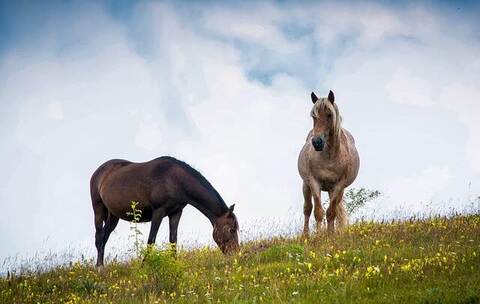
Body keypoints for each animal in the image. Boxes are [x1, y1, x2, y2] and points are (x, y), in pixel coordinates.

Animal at [89, 157, 238, 266]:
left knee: (104, 237)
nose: (236, 254)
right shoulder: (158, 212)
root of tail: (99, 171)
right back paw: (99, 267)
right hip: (98, 209)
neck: (175, 179)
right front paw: (144, 266)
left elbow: (173, 241)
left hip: (113, 216)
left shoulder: (176, 213)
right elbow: (151, 240)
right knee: (99, 236)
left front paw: (174, 264)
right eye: (232, 230)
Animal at [296, 91, 360, 234]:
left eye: (329, 114)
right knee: (307, 209)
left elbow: (331, 213)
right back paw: (305, 235)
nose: (317, 142)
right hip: (306, 185)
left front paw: (330, 234)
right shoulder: (314, 183)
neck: (329, 157)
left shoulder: (338, 186)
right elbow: (318, 212)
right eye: (313, 116)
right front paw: (319, 235)